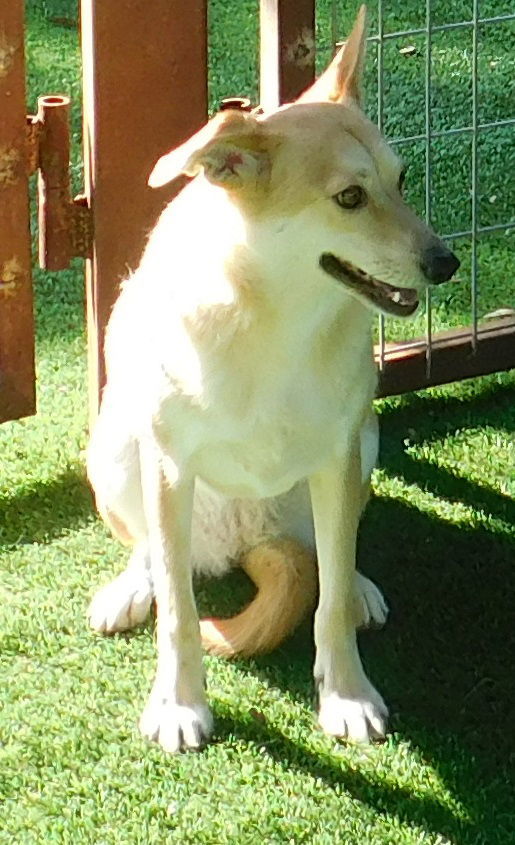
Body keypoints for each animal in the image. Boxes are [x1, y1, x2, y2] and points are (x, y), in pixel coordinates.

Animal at [86, 4, 462, 744]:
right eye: (349, 198)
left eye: (402, 180)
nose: (446, 264)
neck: (271, 316)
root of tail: (247, 534)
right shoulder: (167, 463)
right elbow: (179, 611)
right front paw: (179, 704)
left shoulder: (339, 452)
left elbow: (329, 597)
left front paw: (346, 694)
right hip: (115, 447)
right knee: (155, 553)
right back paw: (131, 587)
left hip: (362, 444)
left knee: (334, 555)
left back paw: (360, 587)